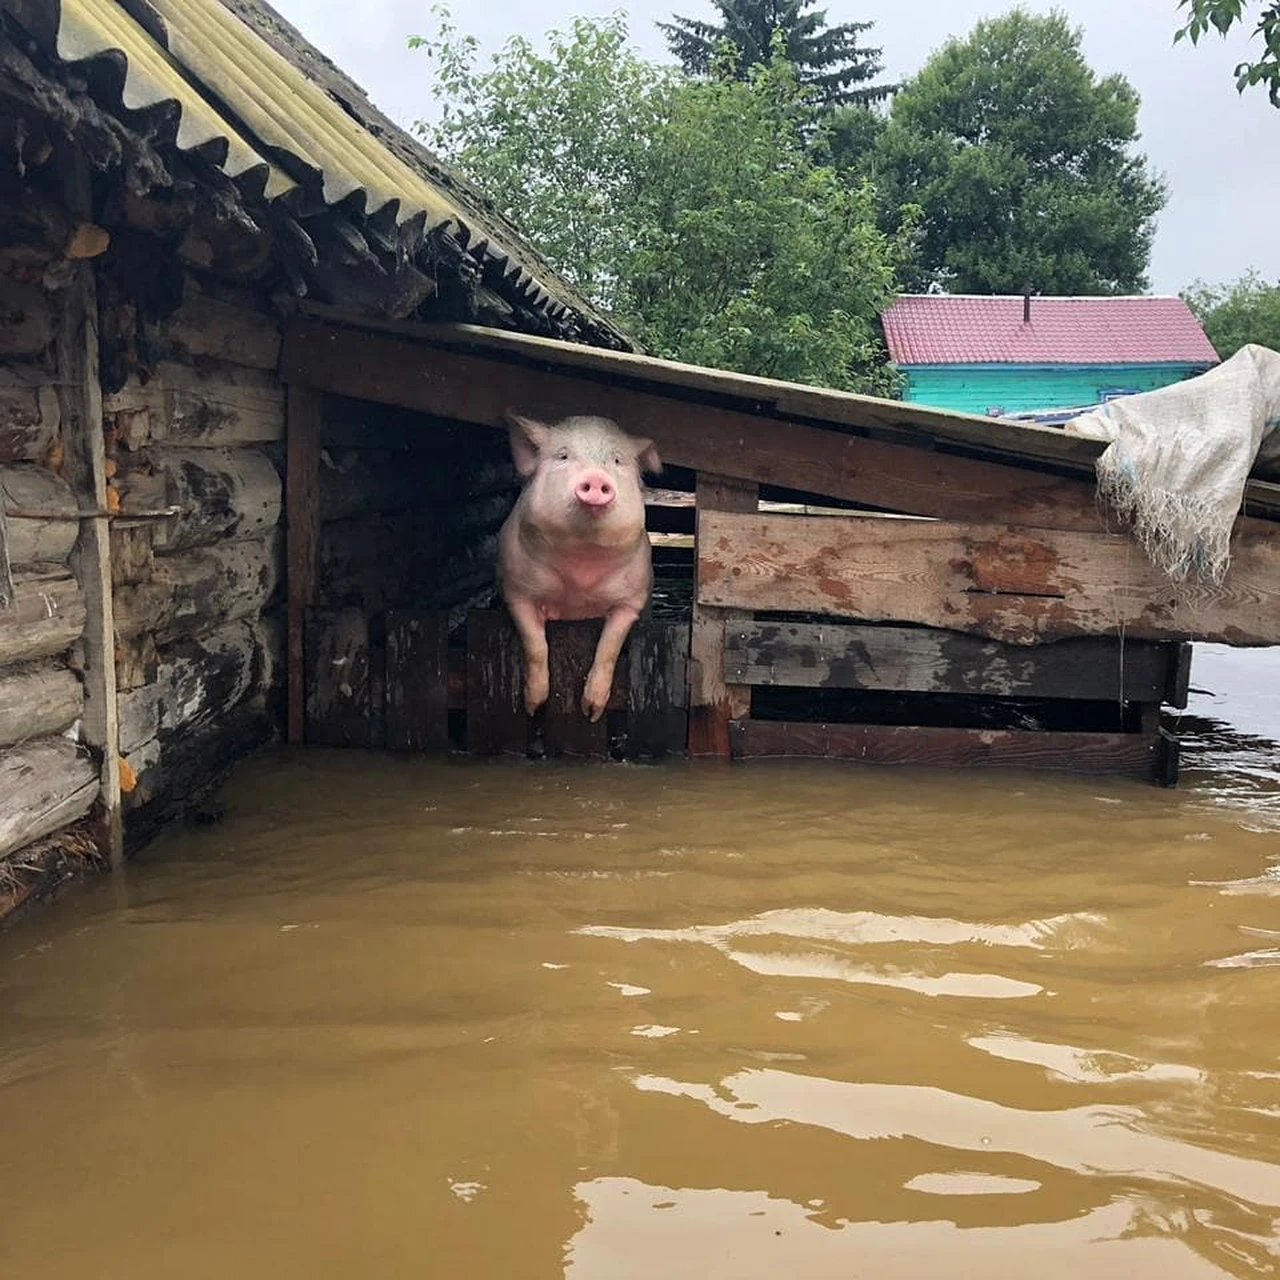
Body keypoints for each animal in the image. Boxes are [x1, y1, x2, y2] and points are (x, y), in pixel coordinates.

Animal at [496, 417, 665, 727]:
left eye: (616, 459)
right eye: (563, 456)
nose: (596, 478)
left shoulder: (632, 599)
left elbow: (609, 648)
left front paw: (591, 713)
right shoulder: (515, 589)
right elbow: (535, 645)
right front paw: (533, 707)